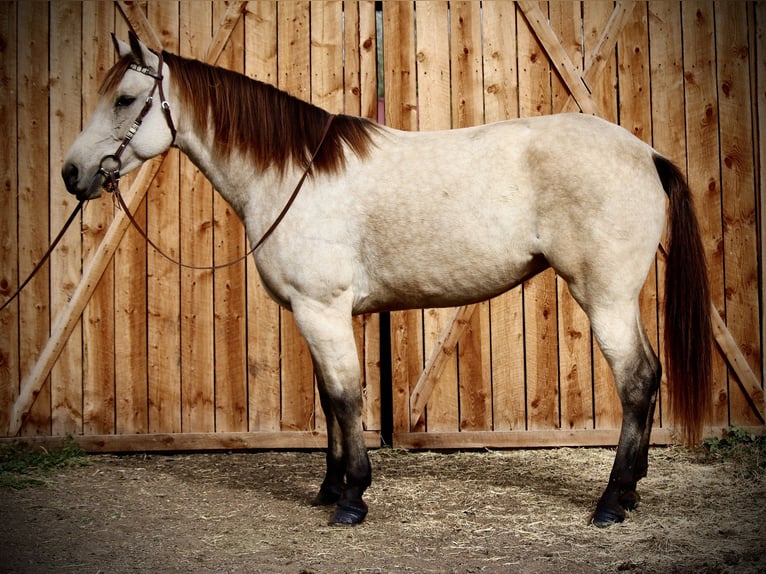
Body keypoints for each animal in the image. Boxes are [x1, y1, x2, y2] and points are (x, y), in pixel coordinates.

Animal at [62, 32, 712, 528]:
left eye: (125, 99)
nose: (72, 173)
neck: (293, 174)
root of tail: (648, 154)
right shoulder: (313, 314)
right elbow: (329, 400)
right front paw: (329, 487)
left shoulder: (322, 309)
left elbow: (347, 398)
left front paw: (351, 498)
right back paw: (629, 490)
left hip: (605, 297)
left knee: (637, 380)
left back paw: (612, 501)